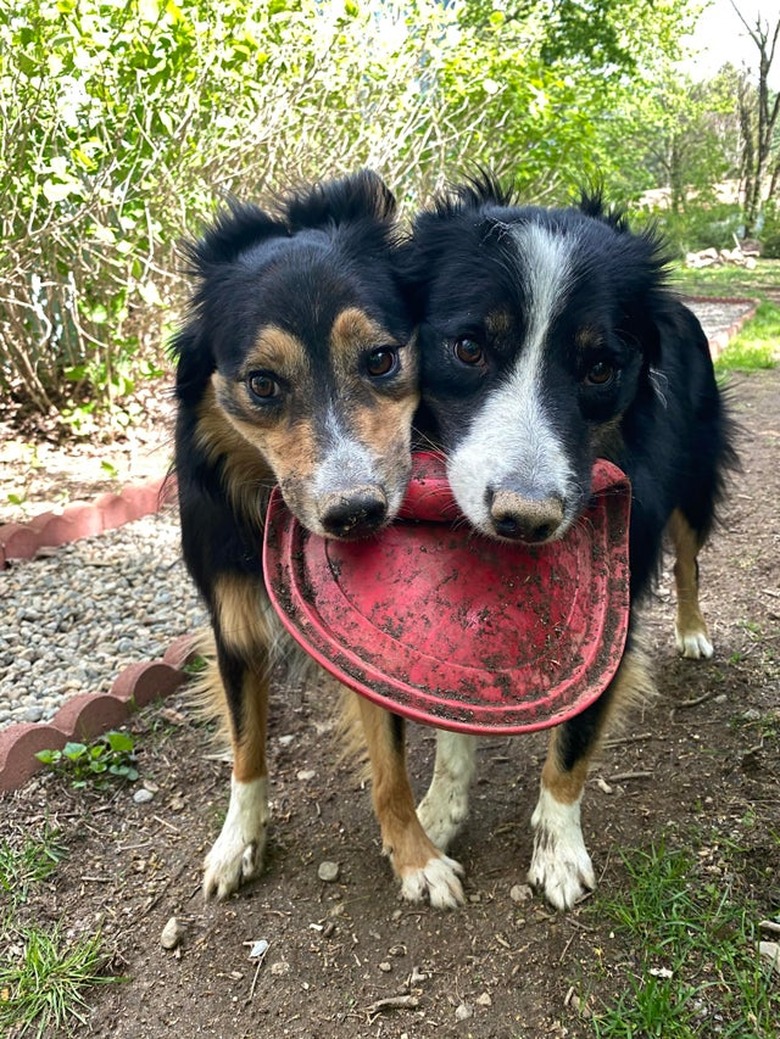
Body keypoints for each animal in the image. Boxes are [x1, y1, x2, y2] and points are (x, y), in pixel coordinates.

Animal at [396, 178, 739, 910]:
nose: (524, 519)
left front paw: (558, 854)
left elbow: (574, 745)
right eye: (469, 348)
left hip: (693, 477)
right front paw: (434, 814)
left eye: (601, 367)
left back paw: (694, 631)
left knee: (690, 559)